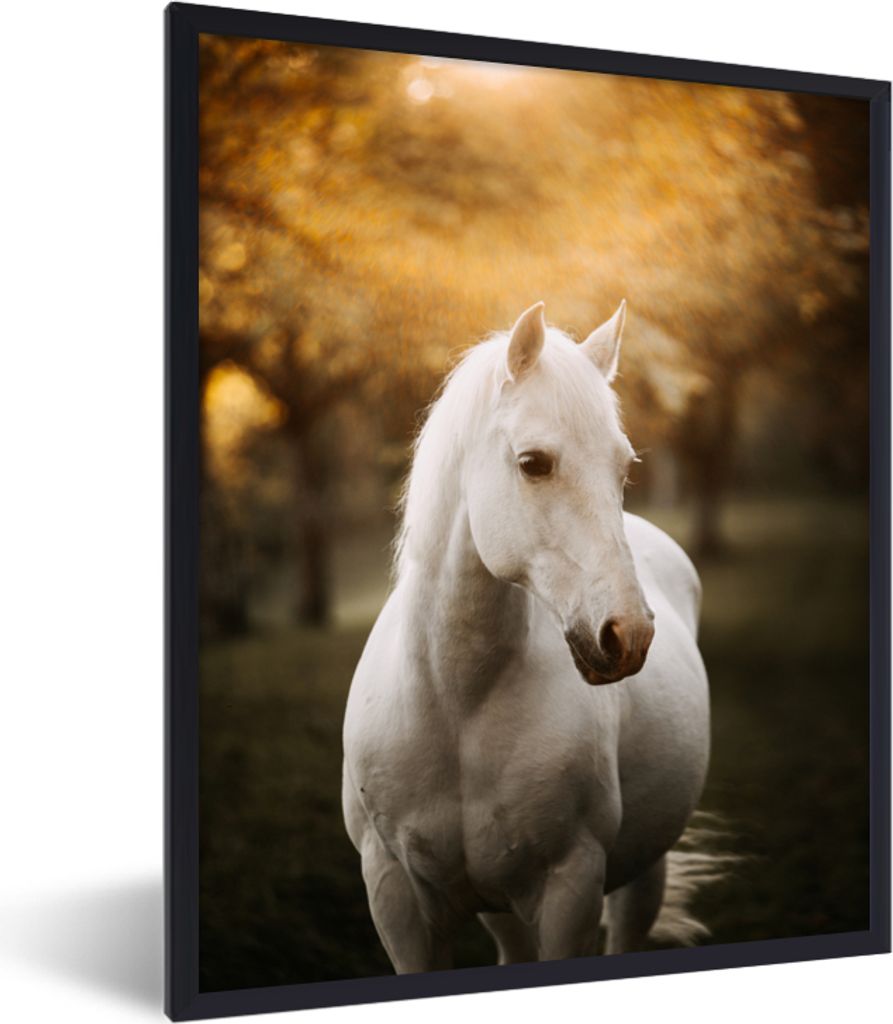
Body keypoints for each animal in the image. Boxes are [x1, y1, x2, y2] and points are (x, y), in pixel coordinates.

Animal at [342, 300, 714, 972]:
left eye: (624, 466)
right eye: (534, 463)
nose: (628, 634)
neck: (456, 702)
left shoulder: (570, 888)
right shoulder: (395, 895)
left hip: (643, 873)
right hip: (500, 905)